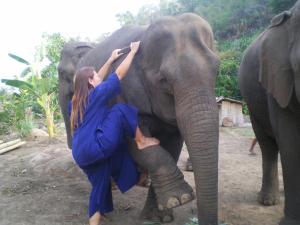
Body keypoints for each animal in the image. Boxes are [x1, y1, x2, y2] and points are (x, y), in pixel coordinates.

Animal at [57, 13, 219, 224]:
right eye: (163, 80)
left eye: (217, 69)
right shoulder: (120, 92)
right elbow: (133, 140)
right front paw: (181, 198)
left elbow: (173, 145)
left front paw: (162, 213)